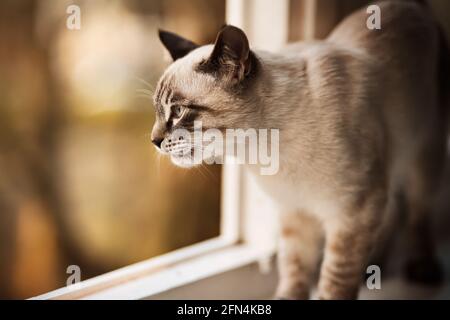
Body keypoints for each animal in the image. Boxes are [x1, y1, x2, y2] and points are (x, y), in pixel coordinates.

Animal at [152, 0, 450, 300]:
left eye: (178, 111)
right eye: (158, 112)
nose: (154, 140)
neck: (264, 151)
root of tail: (412, 5)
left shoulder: (352, 213)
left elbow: (335, 278)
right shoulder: (295, 213)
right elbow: (294, 270)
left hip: (423, 154)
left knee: (417, 211)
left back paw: (422, 268)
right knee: (393, 211)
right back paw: (375, 268)